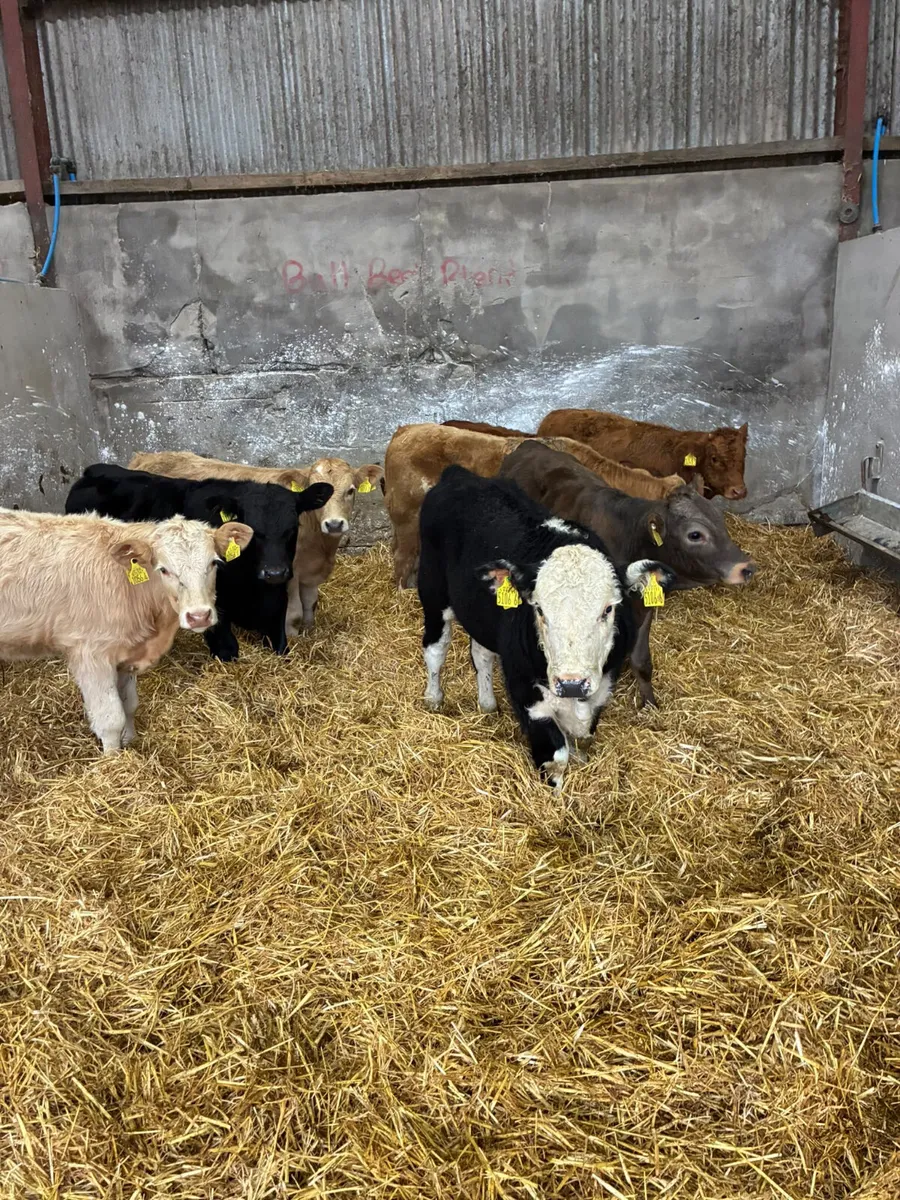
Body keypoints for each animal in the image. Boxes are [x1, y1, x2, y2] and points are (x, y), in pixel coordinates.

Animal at [0, 509, 253, 751]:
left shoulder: (127, 656)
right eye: (163, 569)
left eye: (214, 563)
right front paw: (114, 758)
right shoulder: (91, 655)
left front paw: (131, 741)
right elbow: (111, 719)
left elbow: (129, 705)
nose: (199, 615)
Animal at [66, 464, 332, 661]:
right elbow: (228, 651)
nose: (274, 573)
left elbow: (281, 647)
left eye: (293, 527)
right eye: (251, 530)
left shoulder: (276, 605)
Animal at [129, 451, 383, 634]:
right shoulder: (287, 573)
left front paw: (310, 634)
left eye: (351, 491)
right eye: (323, 496)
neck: (319, 547)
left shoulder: (310, 574)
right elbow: (294, 613)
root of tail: (144, 456)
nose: (334, 524)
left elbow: (310, 605)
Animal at [417, 466, 675, 788]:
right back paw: (434, 699)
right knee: (435, 650)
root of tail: (458, 474)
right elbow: (555, 758)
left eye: (608, 609)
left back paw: (487, 704)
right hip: (433, 593)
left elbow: (580, 740)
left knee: (482, 654)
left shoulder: (602, 686)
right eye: (539, 609)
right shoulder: (524, 688)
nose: (572, 683)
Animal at [498, 441, 757, 705]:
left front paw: (649, 703)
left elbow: (641, 660)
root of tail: (530, 444)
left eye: (720, 520)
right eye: (695, 534)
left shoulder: (644, 607)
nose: (746, 568)